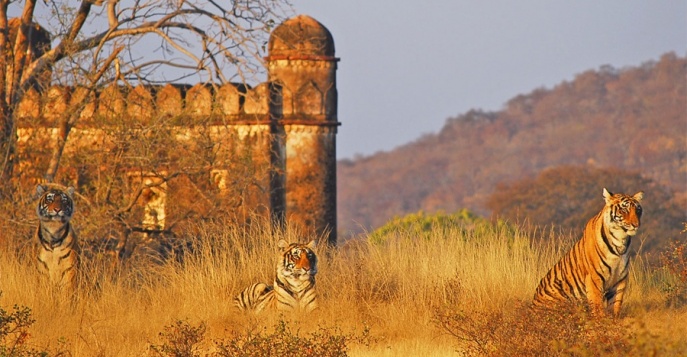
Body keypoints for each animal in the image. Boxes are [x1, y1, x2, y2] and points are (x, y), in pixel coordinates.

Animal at [532, 188, 644, 316]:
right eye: (624, 209)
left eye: (638, 210)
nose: (636, 225)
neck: (620, 240)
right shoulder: (594, 277)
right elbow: (597, 305)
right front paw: (600, 320)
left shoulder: (620, 278)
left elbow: (615, 305)